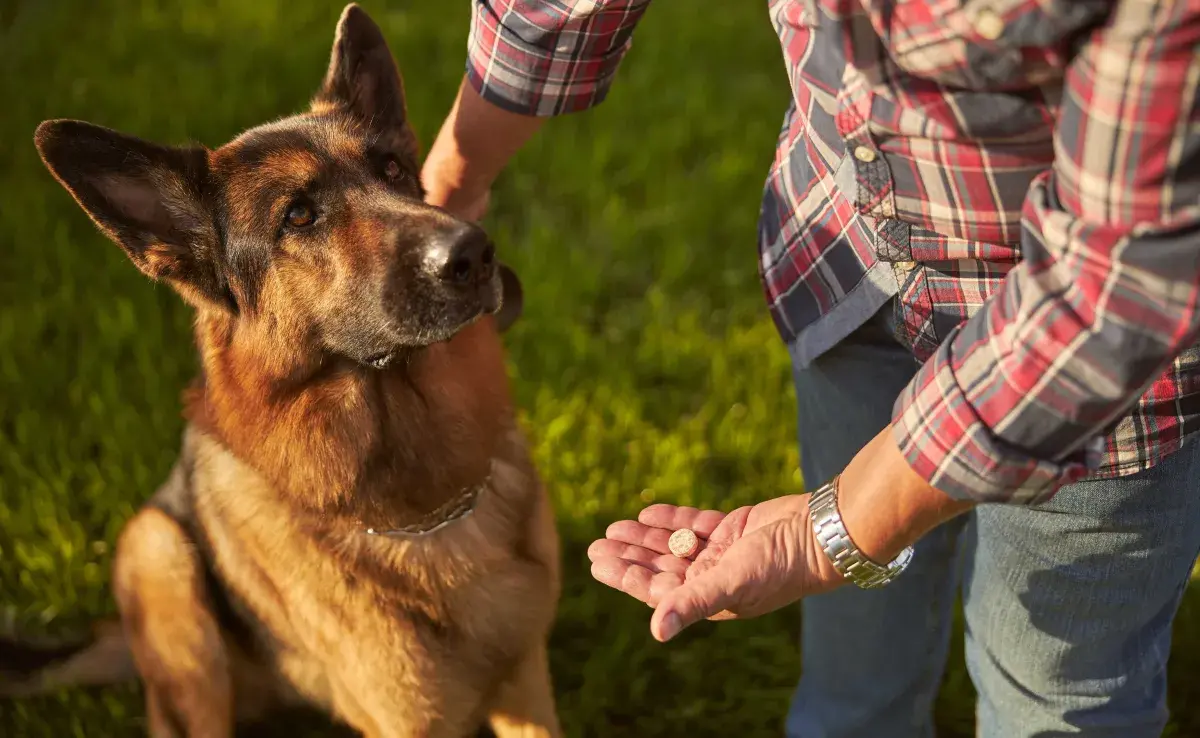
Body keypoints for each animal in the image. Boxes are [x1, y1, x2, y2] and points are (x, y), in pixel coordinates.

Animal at [1, 5, 561, 738]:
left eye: (393, 169)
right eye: (298, 215)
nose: (473, 253)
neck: (425, 507)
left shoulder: (527, 689)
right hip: (161, 557)